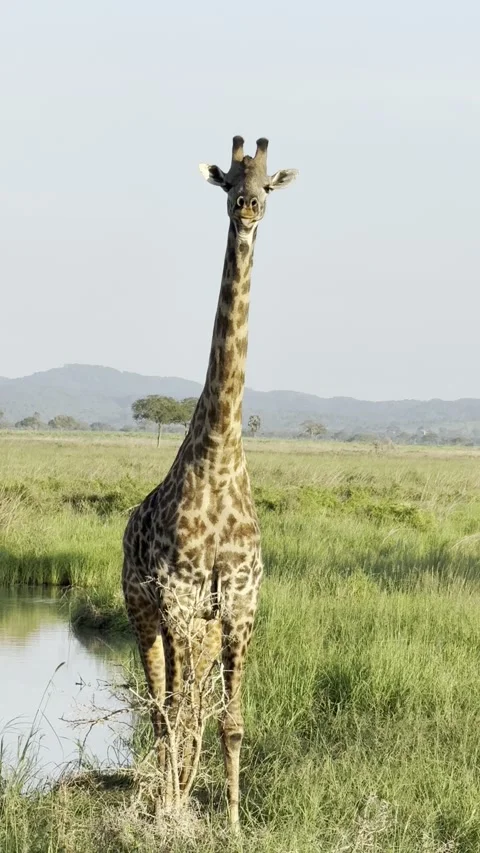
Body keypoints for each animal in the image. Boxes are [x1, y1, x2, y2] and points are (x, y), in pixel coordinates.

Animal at [122, 135, 298, 828]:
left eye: (268, 185)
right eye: (228, 181)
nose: (249, 208)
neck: (220, 459)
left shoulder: (241, 608)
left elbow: (230, 722)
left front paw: (232, 820)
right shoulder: (173, 599)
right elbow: (174, 711)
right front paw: (171, 813)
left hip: (194, 624)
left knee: (190, 707)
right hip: (142, 610)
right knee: (162, 706)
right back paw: (166, 795)